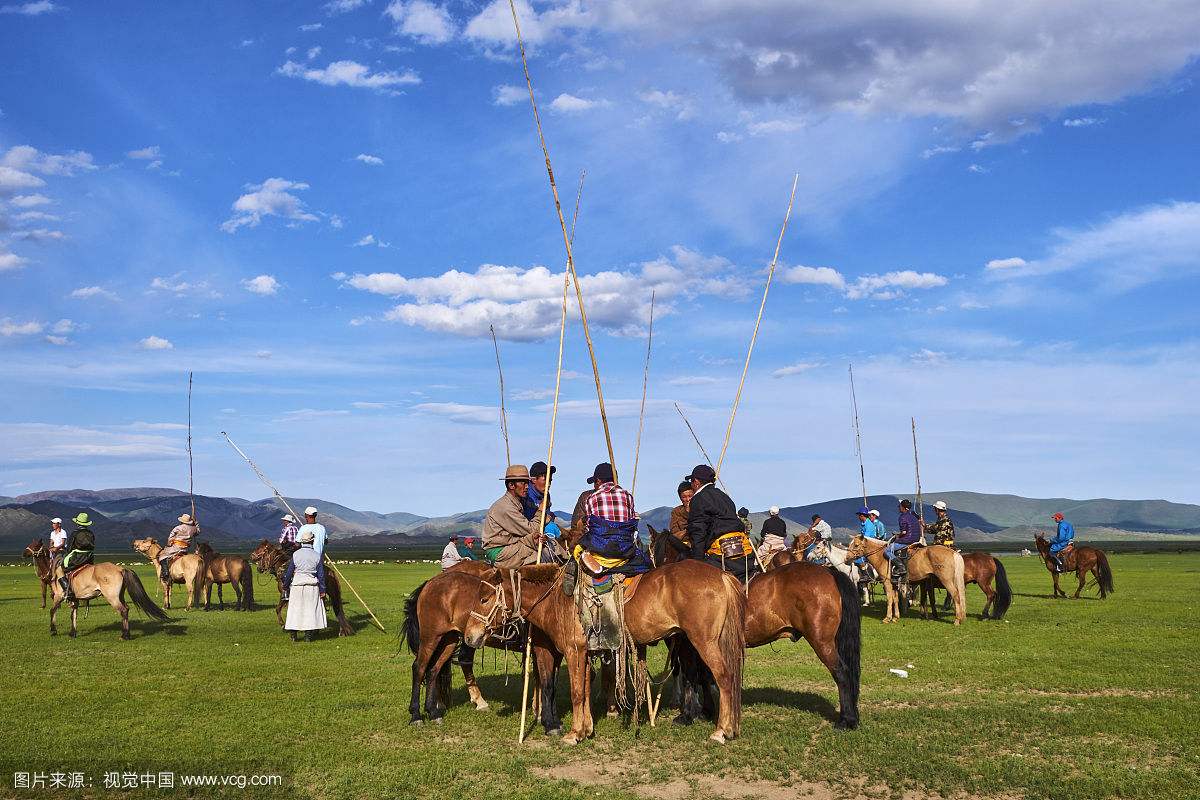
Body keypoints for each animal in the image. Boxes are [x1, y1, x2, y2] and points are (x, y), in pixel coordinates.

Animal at [496, 563, 739, 743]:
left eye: (488, 596)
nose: (483, 632)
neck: (558, 599)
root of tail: (721, 575)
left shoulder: (573, 652)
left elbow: (576, 693)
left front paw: (573, 734)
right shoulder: (585, 653)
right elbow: (584, 690)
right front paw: (586, 730)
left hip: (704, 642)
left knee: (723, 677)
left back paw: (721, 730)